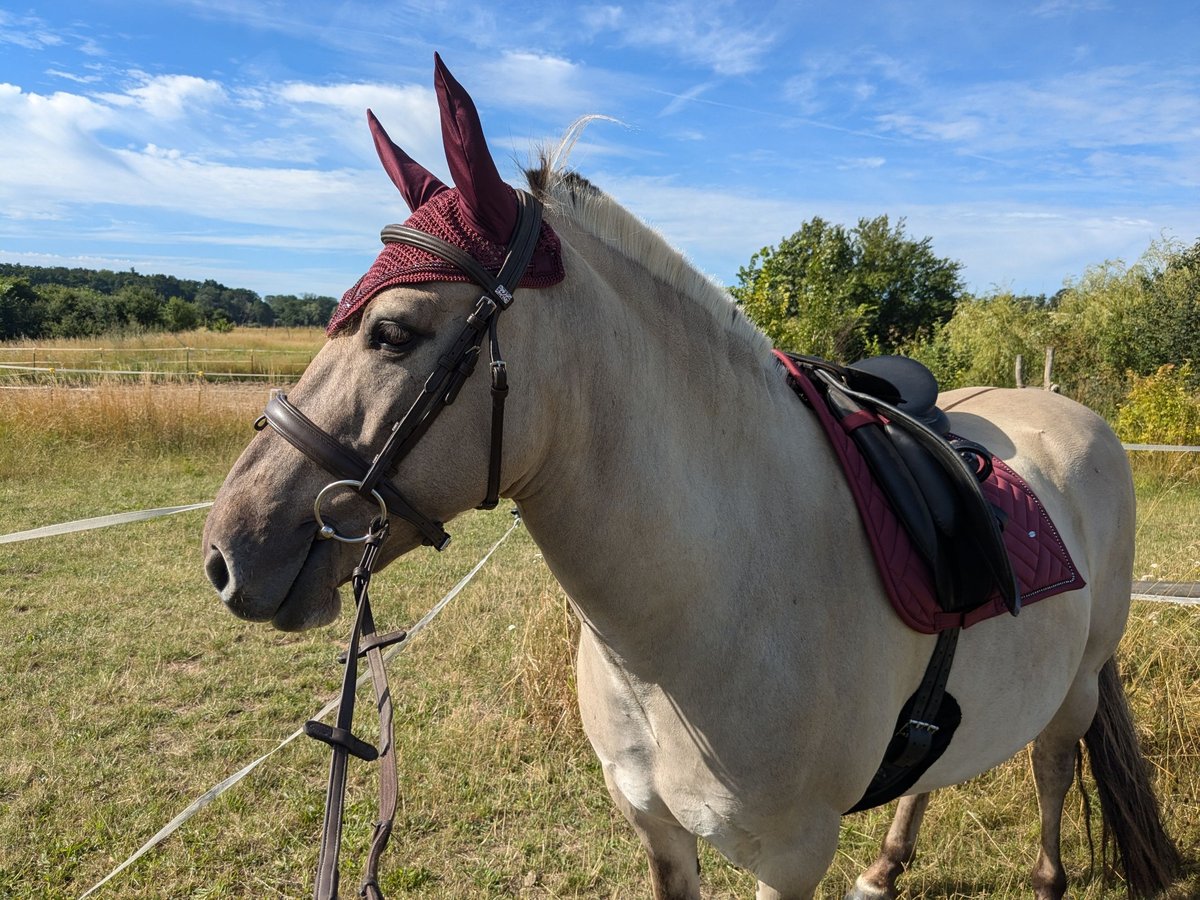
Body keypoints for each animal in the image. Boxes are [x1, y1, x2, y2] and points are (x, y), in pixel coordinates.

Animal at [201, 56, 1176, 900]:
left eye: (393, 332)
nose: (226, 552)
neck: (706, 604)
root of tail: (1070, 415)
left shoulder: (789, 859)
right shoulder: (657, 830)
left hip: (1077, 689)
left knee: (1052, 771)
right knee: (931, 777)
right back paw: (885, 869)